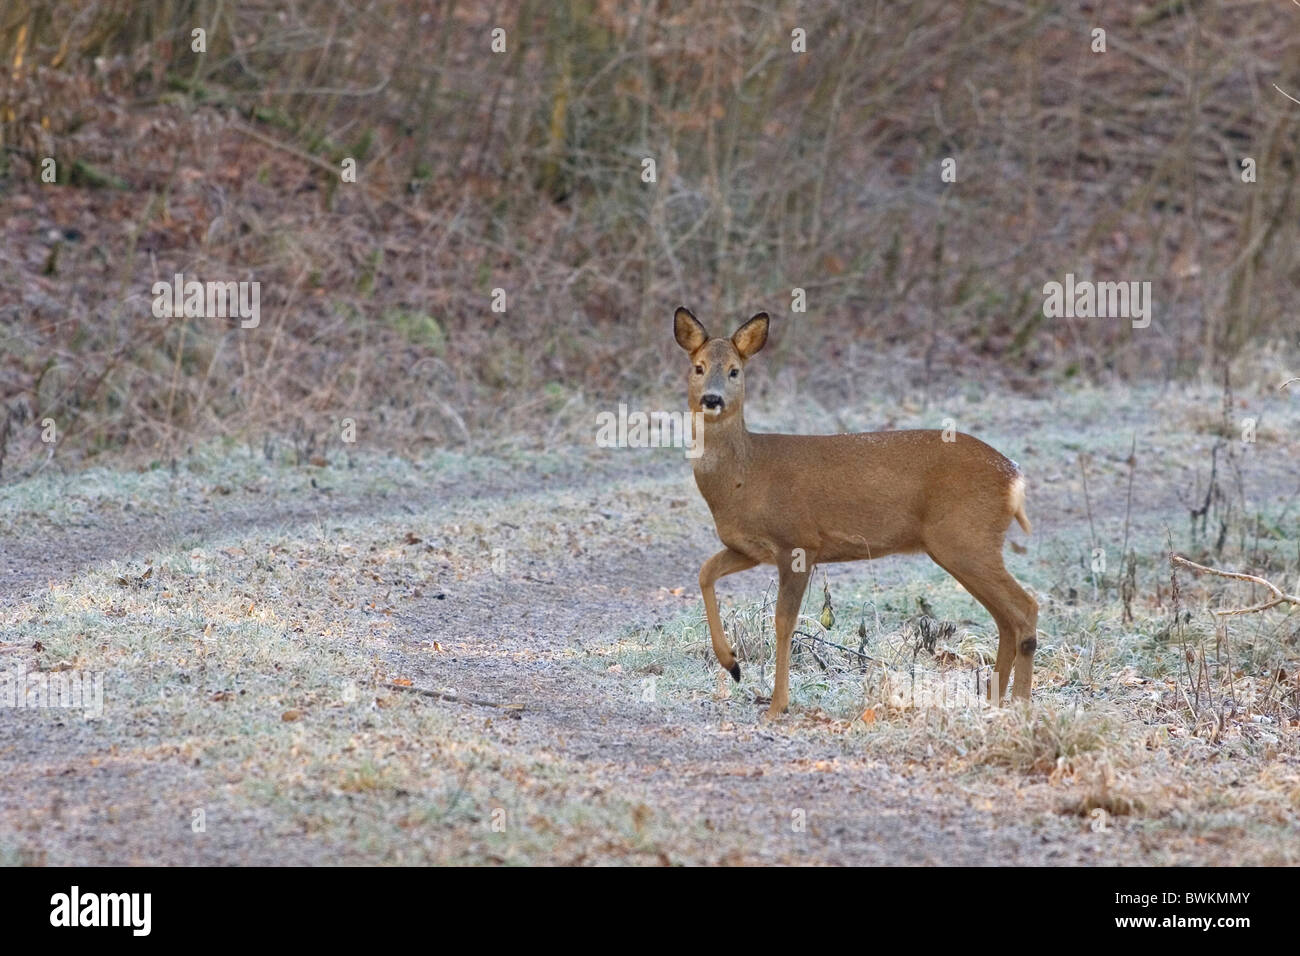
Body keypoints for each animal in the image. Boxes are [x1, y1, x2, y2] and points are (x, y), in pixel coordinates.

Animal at [673, 306, 1038, 720]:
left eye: (735, 370)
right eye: (699, 367)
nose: (712, 398)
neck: (744, 476)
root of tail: (1014, 476)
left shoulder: (798, 541)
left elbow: (784, 622)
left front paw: (777, 705)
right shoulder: (749, 549)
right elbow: (705, 573)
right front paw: (732, 664)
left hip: (967, 538)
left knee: (1025, 608)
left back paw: (1021, 705)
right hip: (962, 545)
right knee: (1005, 617)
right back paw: (994, 702)